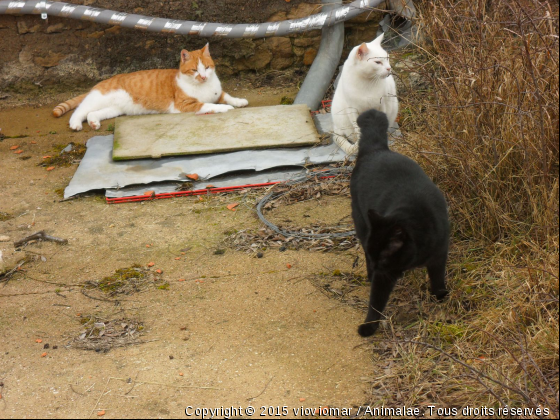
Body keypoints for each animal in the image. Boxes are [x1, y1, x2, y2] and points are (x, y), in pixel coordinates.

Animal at [53, 43, 248, 130]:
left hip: (114, 109)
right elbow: (209, 105)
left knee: (92, 114)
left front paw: (239, 101)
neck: (203, 86)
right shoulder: (184, 105)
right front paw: (224, 108)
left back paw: (94, 122)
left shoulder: (217, 93)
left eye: (207, 67)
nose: (203, 76)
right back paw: (76, 124)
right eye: (194, 70)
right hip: (99, 99)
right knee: (80, 110)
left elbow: (226, 95)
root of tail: (103, 81)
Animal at [350, 108, 450, 338]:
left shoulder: (439, 254)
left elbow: (438, 277)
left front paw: (440, 295)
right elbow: (376, 301)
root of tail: (377, 149)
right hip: (361, 223)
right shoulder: (384, 275)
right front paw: (369, 326)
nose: (375, 265)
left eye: (383, 257)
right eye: (376, 257)